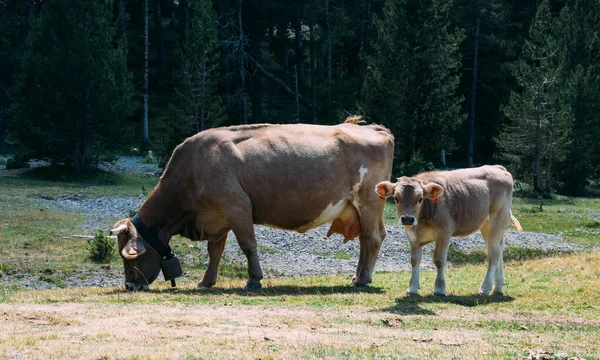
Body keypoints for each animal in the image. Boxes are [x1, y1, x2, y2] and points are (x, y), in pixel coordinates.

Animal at [110, 116, 394, 292]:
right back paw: (357, 276)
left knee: (373, 237)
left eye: (129, 257)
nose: (130, 285)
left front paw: (254, 280)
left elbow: (248, 245)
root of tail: (375, 128)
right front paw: (206, 281)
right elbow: (215, 251)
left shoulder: (237, 206)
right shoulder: (217, 217)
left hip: (369, 201)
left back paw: (363, 279)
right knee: (365, 239)